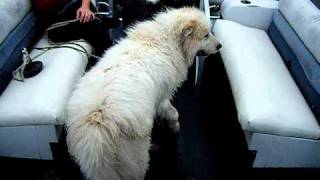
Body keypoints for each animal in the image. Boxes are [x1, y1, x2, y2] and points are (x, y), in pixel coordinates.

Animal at [66, 7, 221, 180]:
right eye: (206, 35)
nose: (220, 45)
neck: (169, 41)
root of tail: (97, 124)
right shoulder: (162, 98)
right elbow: (174, 114)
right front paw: (174, 126)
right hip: (136, 159)